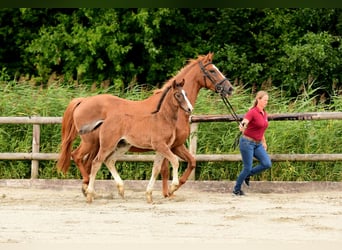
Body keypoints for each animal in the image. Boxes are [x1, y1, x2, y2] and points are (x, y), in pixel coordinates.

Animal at [57, 52, 232, 199]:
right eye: (212, 71)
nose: (229, 88)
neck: (170, 112)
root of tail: (83, 101)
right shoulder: (171, 146)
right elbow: (166, 169)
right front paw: (168, 191)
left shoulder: (176, 145)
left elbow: (191, 162)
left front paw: (170, 190)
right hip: (92, 142)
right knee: (78, 157)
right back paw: (88, 188)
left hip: (100, 145)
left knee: (90, 162)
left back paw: (92, 190)